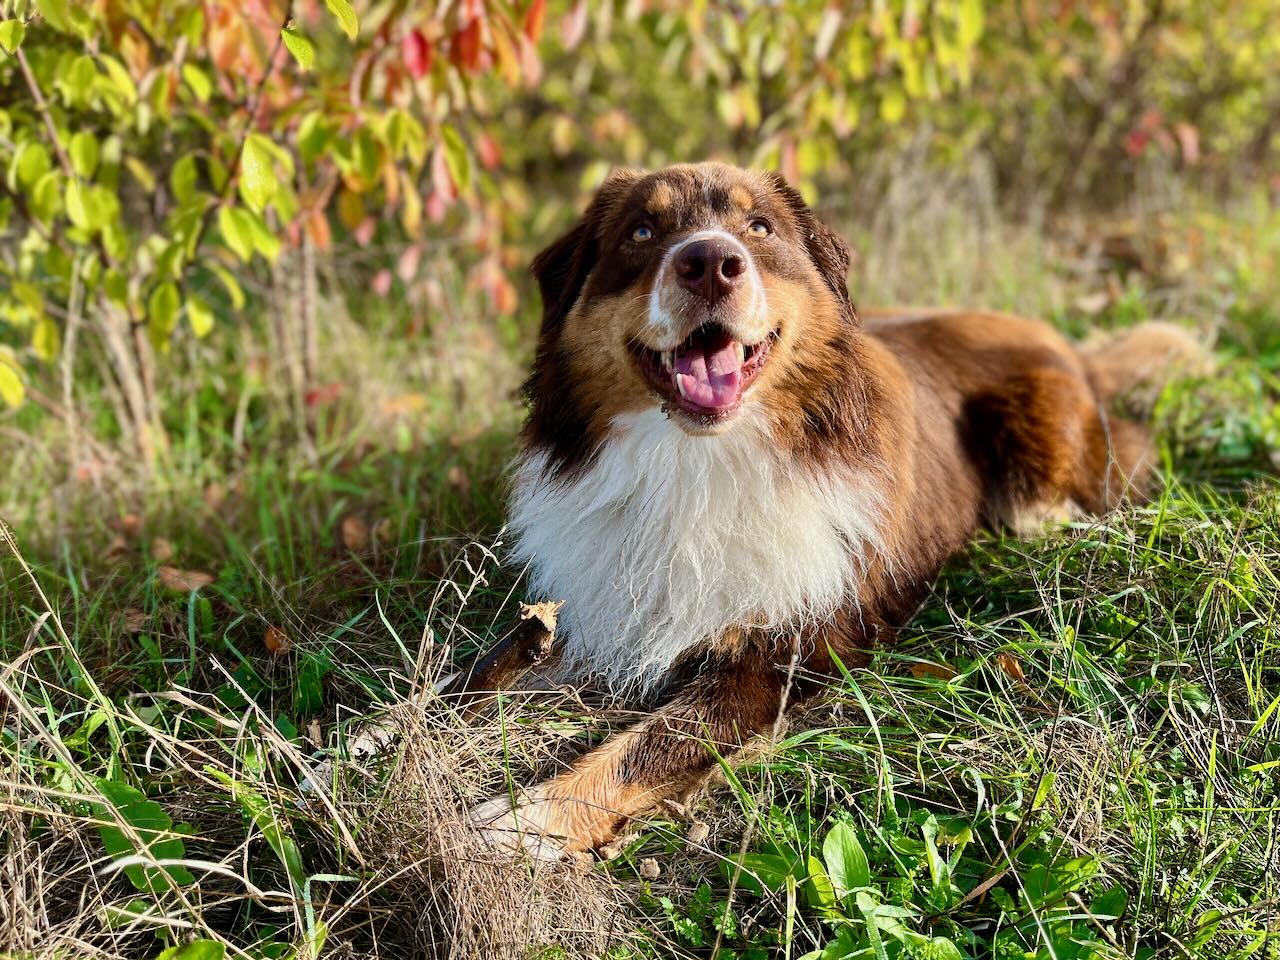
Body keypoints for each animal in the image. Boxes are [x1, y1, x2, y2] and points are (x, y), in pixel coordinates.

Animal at [468, 161, 1198, 860]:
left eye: (759, 228)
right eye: (642, 232)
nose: (710, 262)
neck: (695, 465)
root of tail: (1071, 349)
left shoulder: (782, 654)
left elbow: (646, 745)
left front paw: (528, 821)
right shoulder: (595, 611)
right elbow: (482, 671)